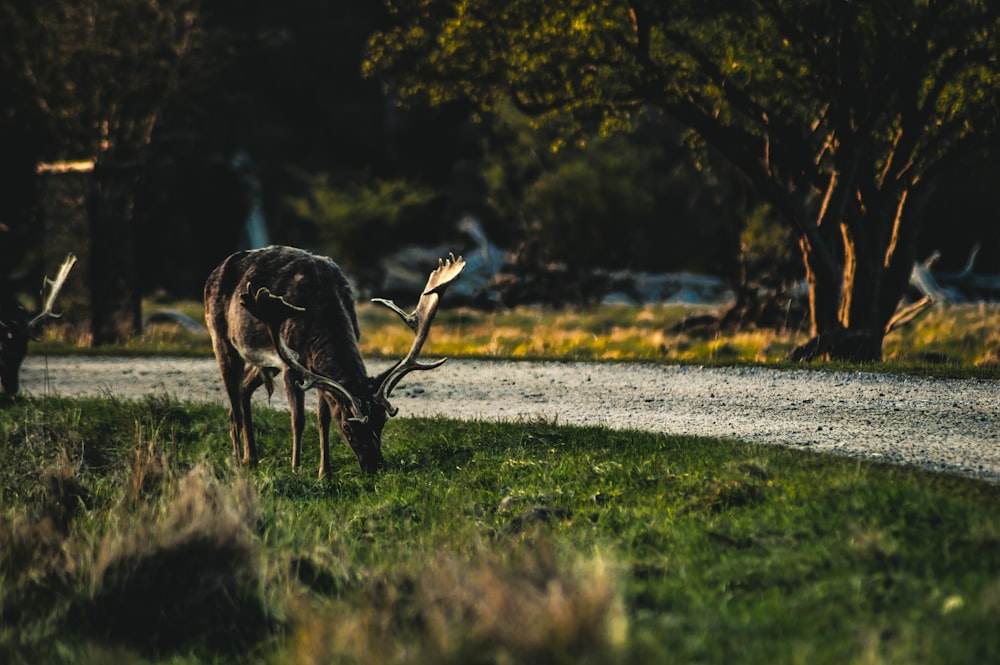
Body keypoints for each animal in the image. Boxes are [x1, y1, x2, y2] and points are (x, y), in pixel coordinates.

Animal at [204, 246, 468, 474]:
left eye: (382, 422)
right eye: (349, 427)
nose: (374, 466)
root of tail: (213, 273)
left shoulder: (316, 372)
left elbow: (323, 418)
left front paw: (325, 473)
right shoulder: (292, 366)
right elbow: (298, 419)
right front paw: (296, 469)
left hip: (266, 363)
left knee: (243, 391)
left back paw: (251, 458)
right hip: (222, 339)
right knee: (234, 405)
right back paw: (237, 461)